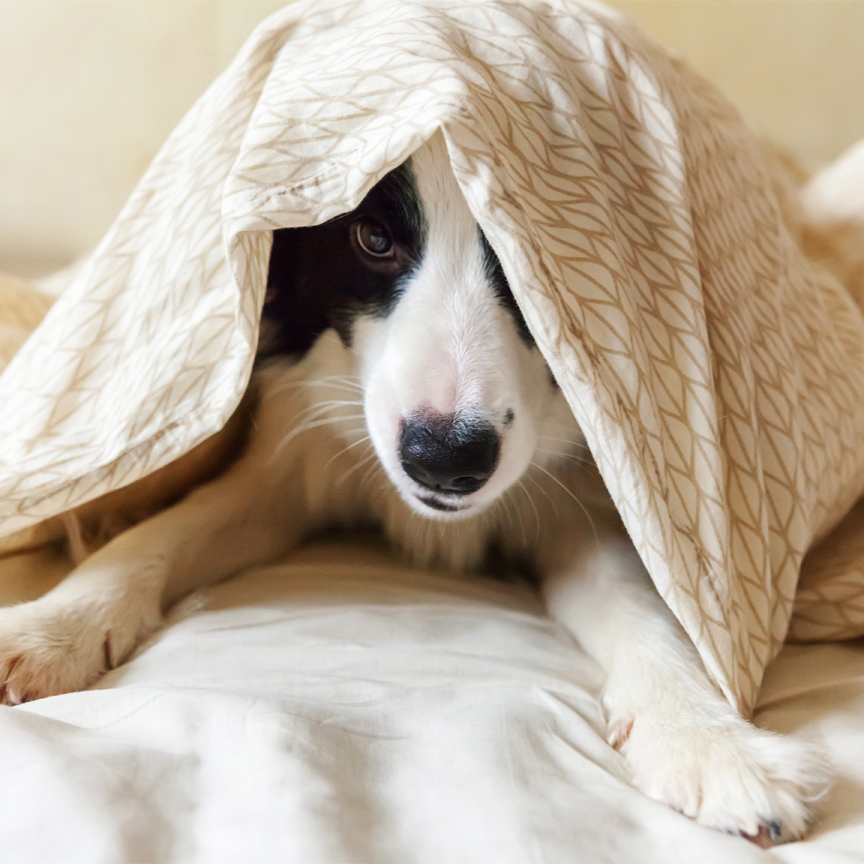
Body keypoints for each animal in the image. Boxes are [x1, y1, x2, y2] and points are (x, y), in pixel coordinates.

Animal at [0, 133, 828, 844]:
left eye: (531, 260)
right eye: (372, 238)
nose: (444, 458)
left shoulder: (583, 503)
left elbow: (645, 612)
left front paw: (712, 744)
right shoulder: (295, 462)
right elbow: (163, 532)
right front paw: (49, 628)